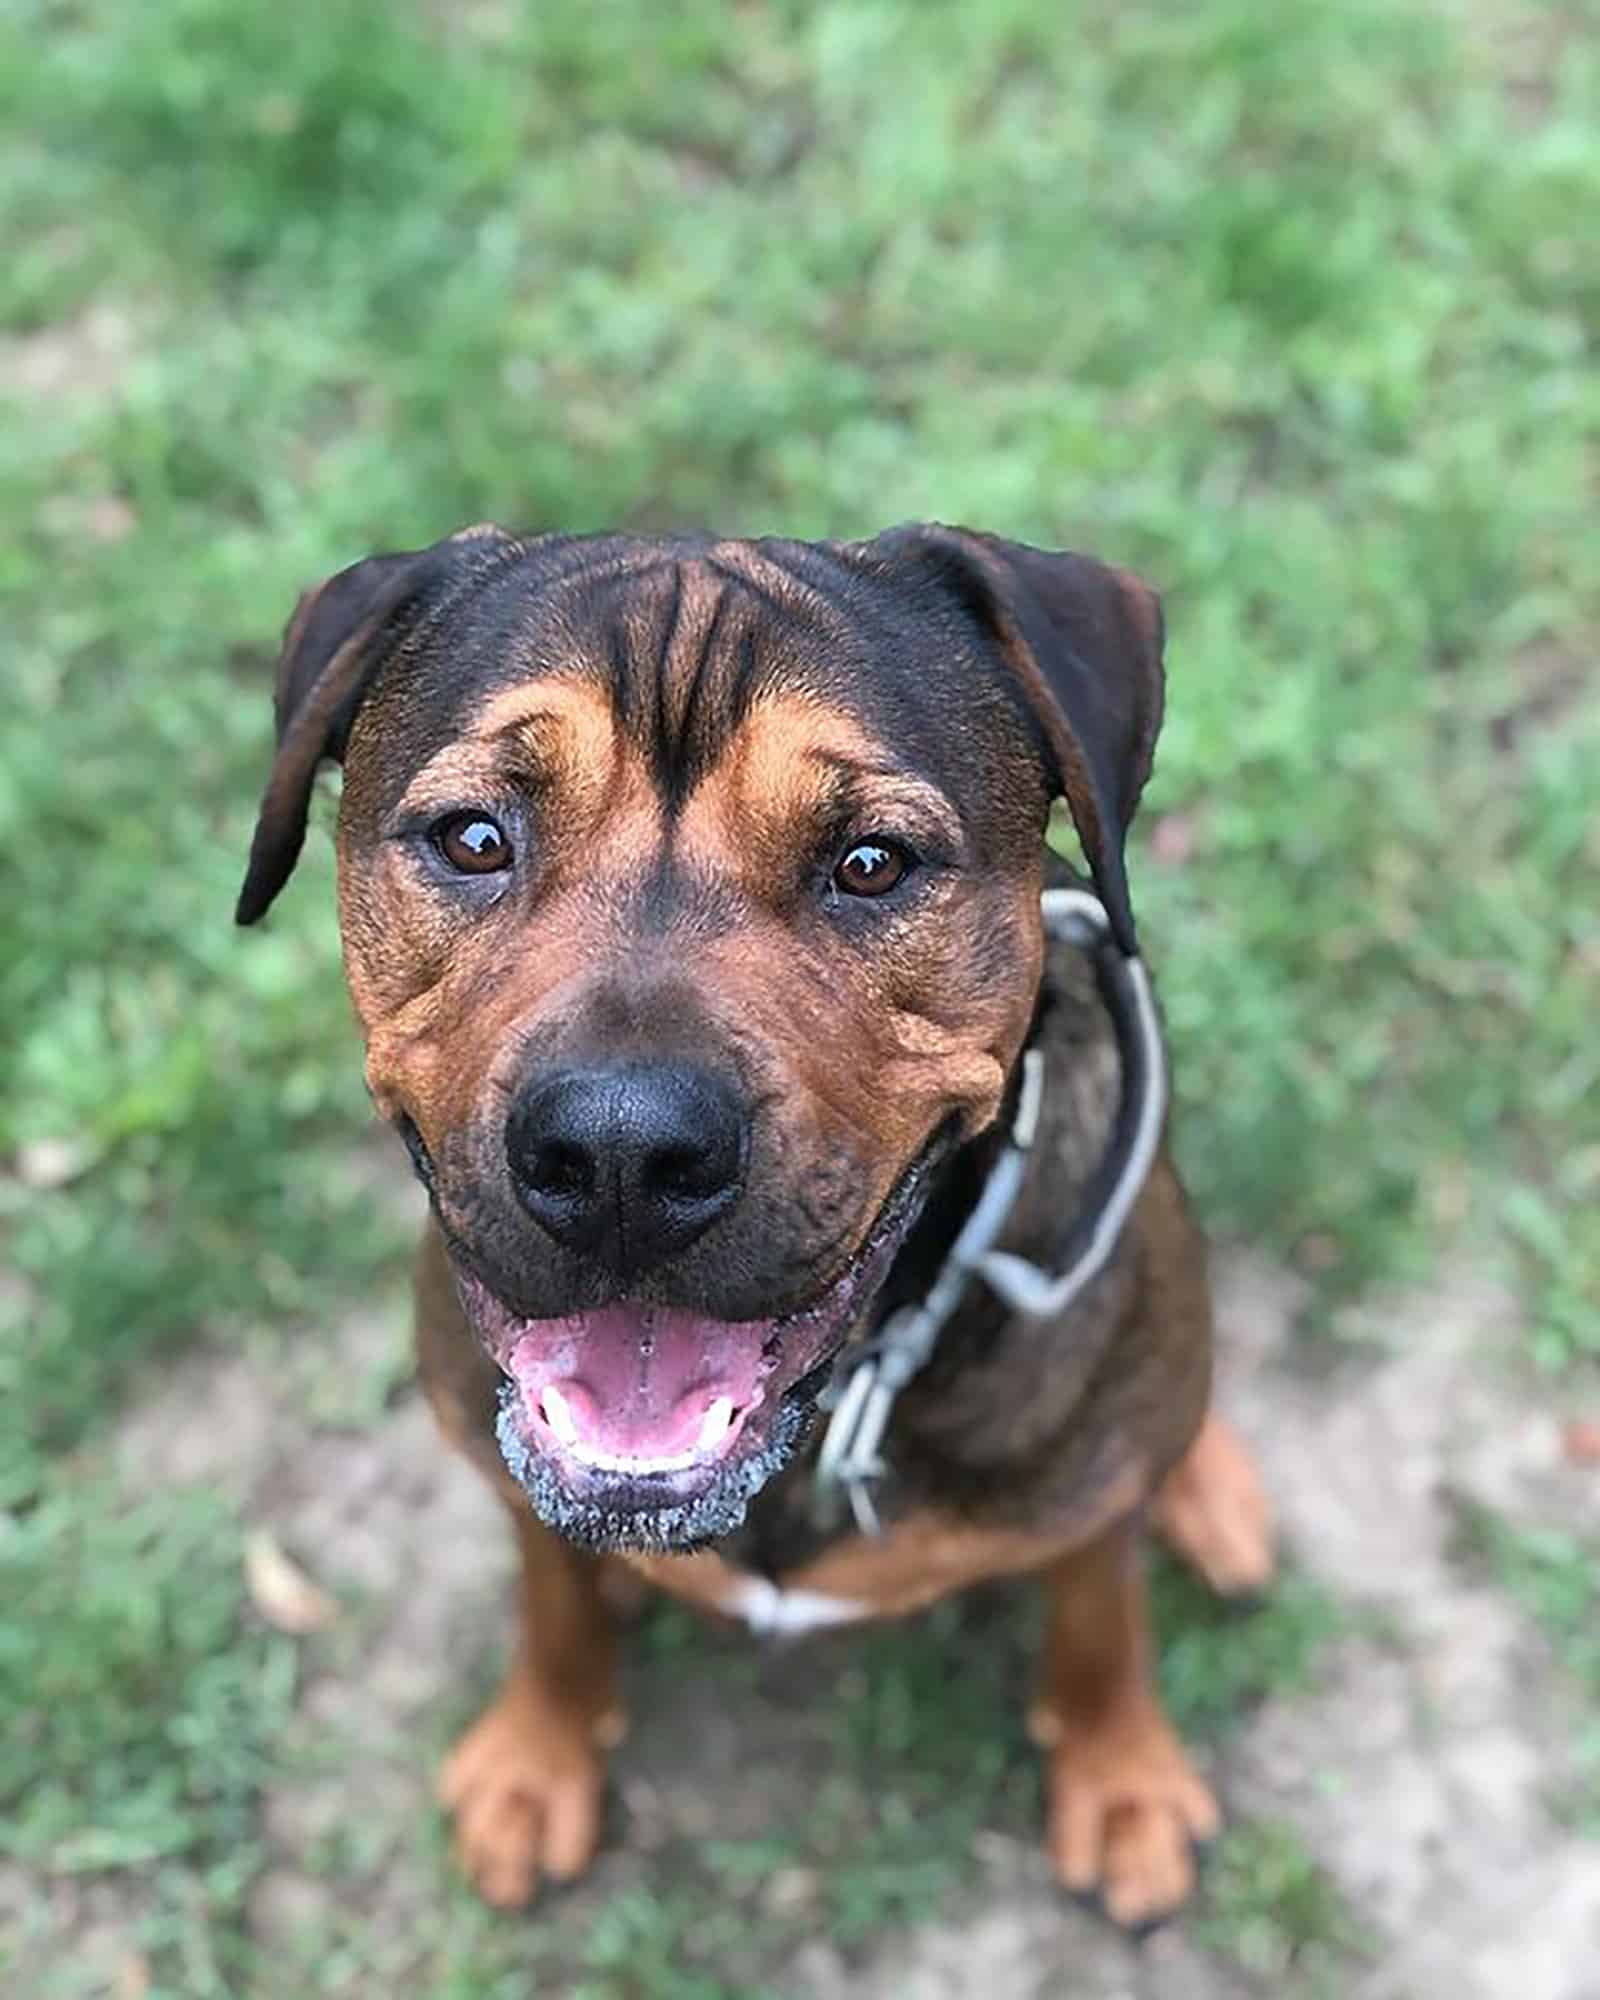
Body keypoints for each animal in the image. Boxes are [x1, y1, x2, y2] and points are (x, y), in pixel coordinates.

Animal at [234, 524, 1272, 1928]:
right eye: (474, 836)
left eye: (871, 861)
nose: (620, 1152)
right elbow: (554, 1602)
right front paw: (537, 1752)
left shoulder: (1090, 1494)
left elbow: (1098, 1620)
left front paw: (1122, 1777)